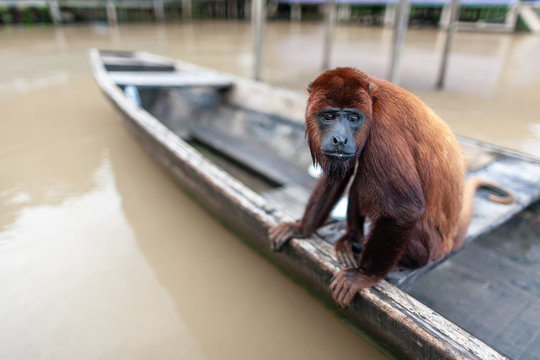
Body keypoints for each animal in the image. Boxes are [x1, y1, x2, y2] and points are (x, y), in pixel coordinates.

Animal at [268, 68, 512, 310]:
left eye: (354, 118)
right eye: (329, 116)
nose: (340, 139)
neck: (372, 100)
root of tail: (446, 245)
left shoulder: (384, 130)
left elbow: (405, 208)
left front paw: (363, 276)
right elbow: (338, 178)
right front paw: (301, 228)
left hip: (423, 249)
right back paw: (352, 239)